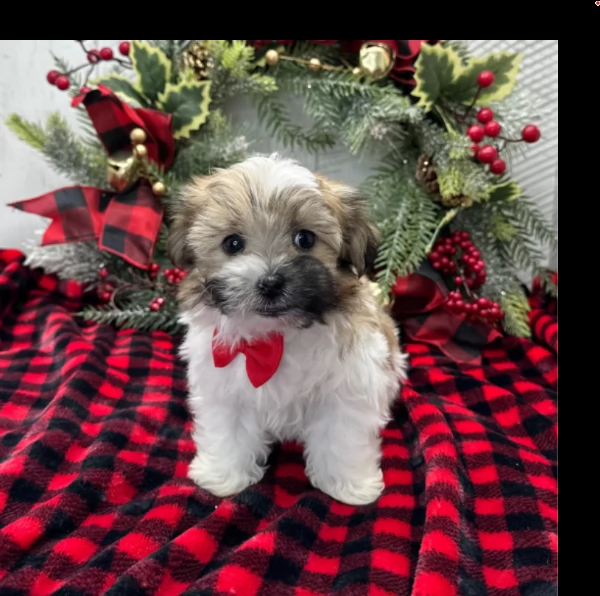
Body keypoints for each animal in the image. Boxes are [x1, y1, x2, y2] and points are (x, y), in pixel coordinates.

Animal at [169, 155, 408, 508]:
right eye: (233, 243)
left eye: (305, 239)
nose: (270, 283)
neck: (277, 337)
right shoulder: (224, 388)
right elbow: (229, 431)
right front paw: (223, 475)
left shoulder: (346, 389)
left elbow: (341, 436)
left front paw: (347, 484)